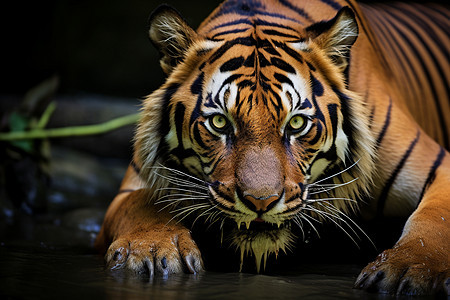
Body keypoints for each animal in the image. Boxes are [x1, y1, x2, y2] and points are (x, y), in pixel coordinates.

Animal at [93, 0, 448, 296]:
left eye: (296, 124)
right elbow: (139, 206)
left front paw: (409, 269)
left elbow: (434, 219)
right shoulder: (134, 185)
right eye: (219, 122)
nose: (260, 202)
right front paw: (151, 252)